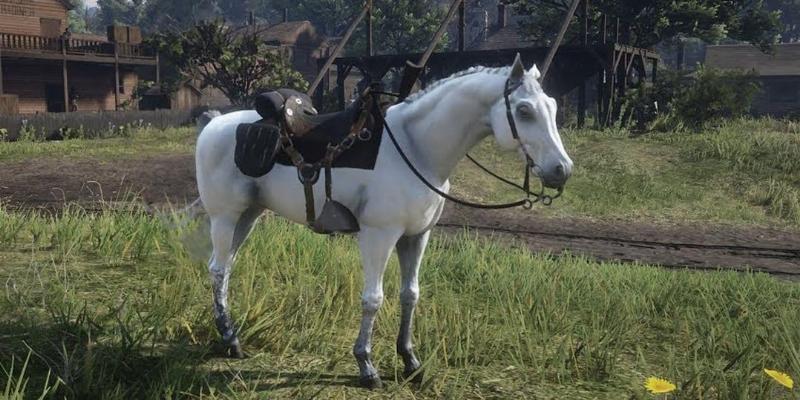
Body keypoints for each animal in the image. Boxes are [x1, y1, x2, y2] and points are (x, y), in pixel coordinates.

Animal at [193, 55, 573, 389]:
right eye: (524, 111)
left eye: (553, 107)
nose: (562, 170)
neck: (416, 148)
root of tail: (213, 123)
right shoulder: (379, 236)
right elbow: (372, 299)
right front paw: (366, 366)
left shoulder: (417, 236)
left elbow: (410, 294)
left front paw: (410, 362)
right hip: (225, 216)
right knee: (218, 269)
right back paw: (231, 341)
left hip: (248, 215)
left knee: (225, 268)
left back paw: (229, 335)